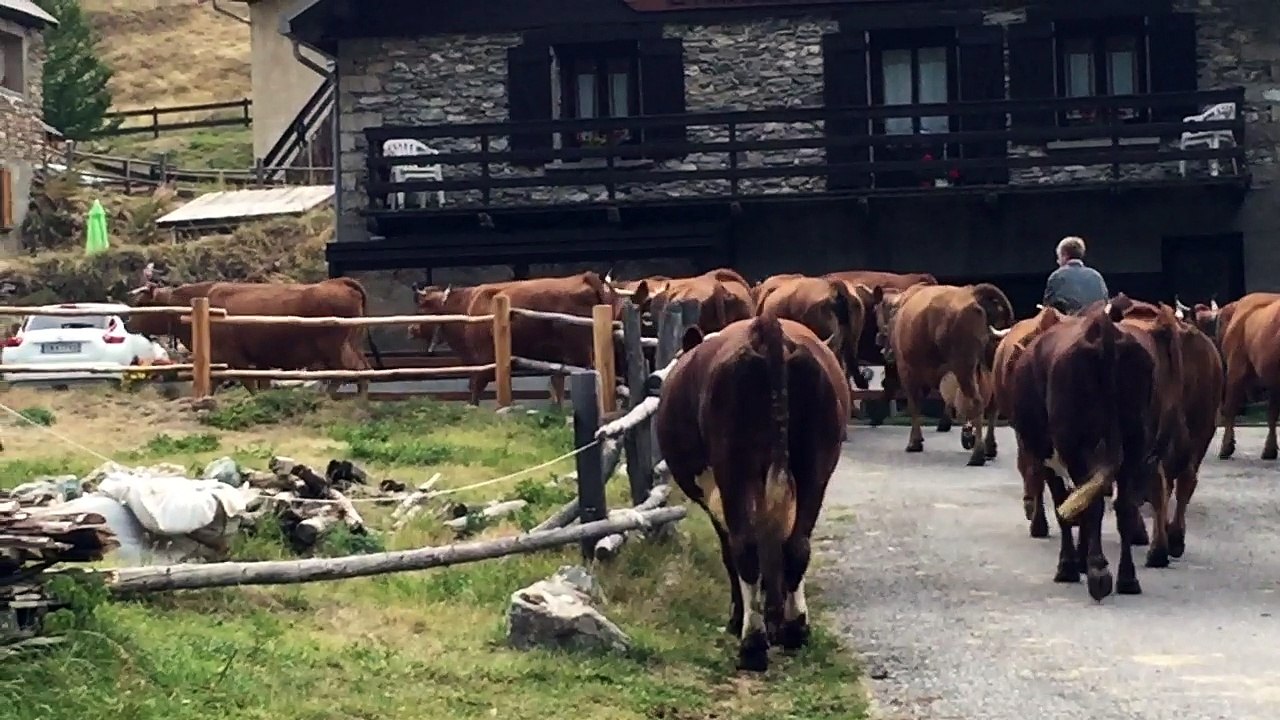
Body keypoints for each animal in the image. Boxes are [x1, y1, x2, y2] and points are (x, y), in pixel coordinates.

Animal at [410, 272, 622, 406]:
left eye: (422, 307)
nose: (411, 329)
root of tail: (586, 276)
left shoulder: (484, 360)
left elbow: (475, 387)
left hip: (582, 352)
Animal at [654, 314, 851, 672]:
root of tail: (766, 327)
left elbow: (730, 552)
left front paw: (738, 619)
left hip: (735, 467)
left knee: (745, 549)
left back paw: (753, 643)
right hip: (813, 466)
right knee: (796, 545)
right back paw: (794, 629)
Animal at [872, 282, 1014, 466]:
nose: (879, 339)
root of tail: (973, 291)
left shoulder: (907, 370)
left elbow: (914, 403)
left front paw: (915, 442)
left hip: (963, 365)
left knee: (976, 401)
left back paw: (977, 455)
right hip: (988, 362)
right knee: (992, 405)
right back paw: (989, 447)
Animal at [1007, 296, 1160, 601]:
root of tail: (1102, 330)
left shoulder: (1049, 458)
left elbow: (1063, 506)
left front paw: (1069, 565)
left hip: (1075, 446)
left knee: (1092, 504)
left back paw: (1098, 572)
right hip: (1135, 441)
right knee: (1123, 505)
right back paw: (1127, 578)